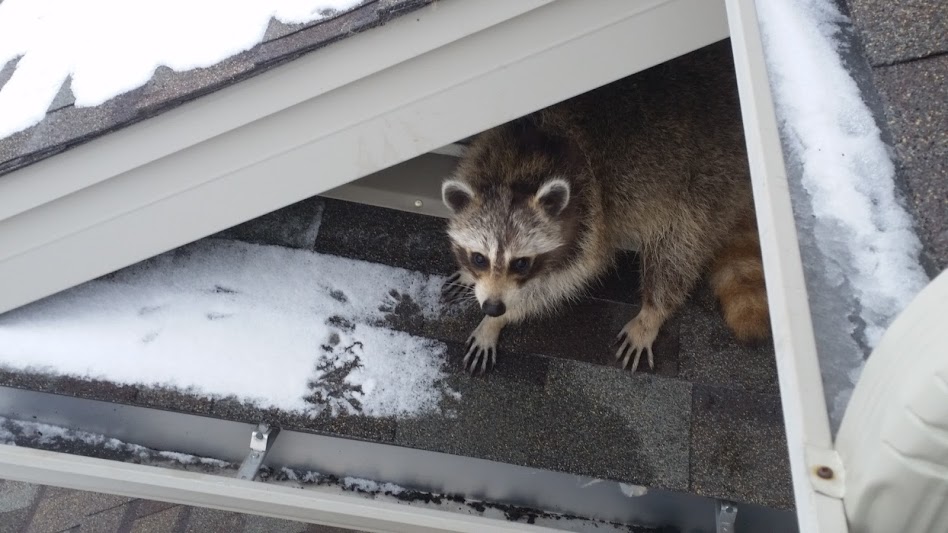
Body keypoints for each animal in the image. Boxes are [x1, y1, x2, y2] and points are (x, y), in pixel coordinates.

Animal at [442, 42, 772, 374]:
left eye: (521, 263)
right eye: (479, 258)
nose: (493, 306)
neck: (519, 166)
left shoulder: (589, 214)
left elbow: (558, 284)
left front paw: (496, 321)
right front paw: (472, 281)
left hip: (710, 181)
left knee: (679, 248)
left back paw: (654, 309)